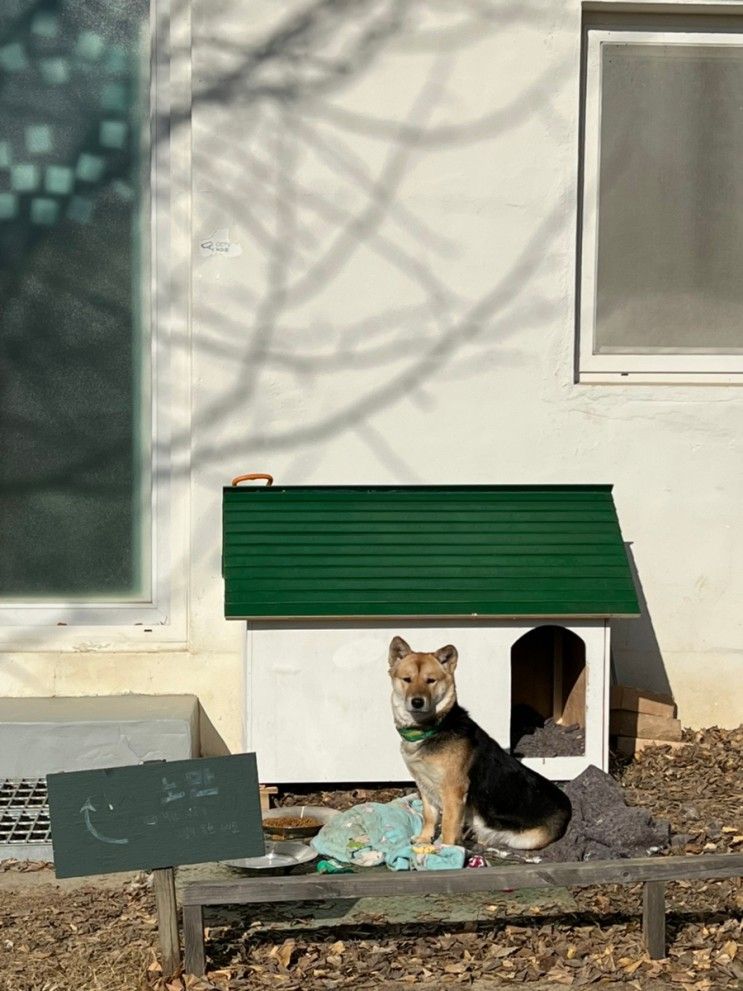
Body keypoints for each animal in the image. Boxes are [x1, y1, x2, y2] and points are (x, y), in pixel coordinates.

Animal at [390, 640, 576, 848]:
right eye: (407, 679)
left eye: (431, 680)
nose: (417, 702)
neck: (434, 727)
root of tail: (569, 809)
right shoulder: (424, 786)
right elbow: (429, 816)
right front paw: (424, 839)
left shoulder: (453, 791)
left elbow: (447, 824)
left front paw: (446, 849)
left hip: (528, 840)